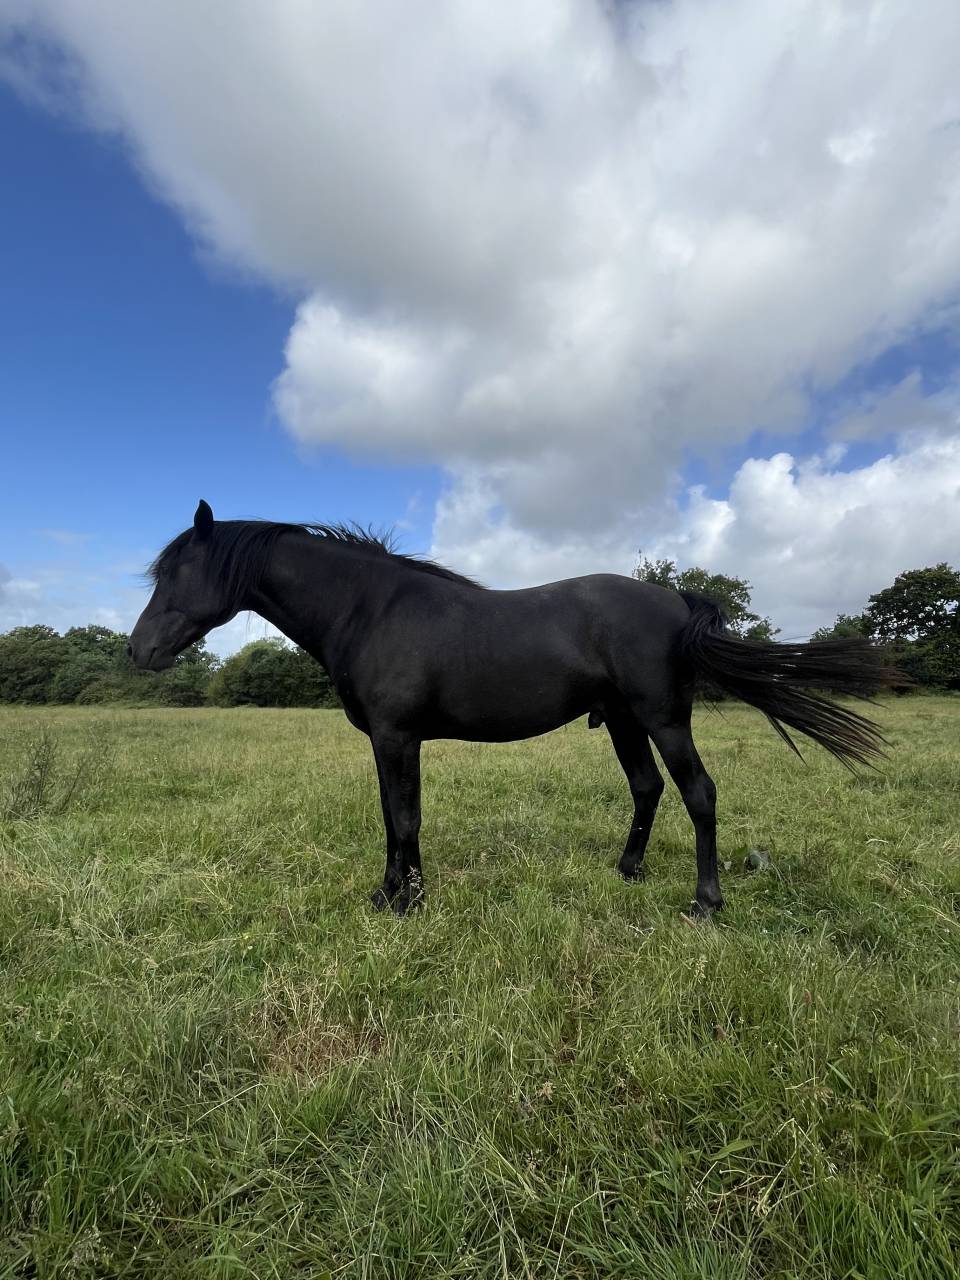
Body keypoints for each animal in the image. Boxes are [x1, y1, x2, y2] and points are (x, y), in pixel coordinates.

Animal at [129, 500, 892, 918]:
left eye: (179, 572)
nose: (139, 649)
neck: (370, 609)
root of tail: (679, 601)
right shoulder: (384, 740)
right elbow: (389, 816)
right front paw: (388, 893)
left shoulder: (398, 736)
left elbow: (406, 817)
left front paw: (407, 901)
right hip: (622, 720)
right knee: (647, 788)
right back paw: (627, 871)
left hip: (663, 717)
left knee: (697, 792)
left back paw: (705, 903)